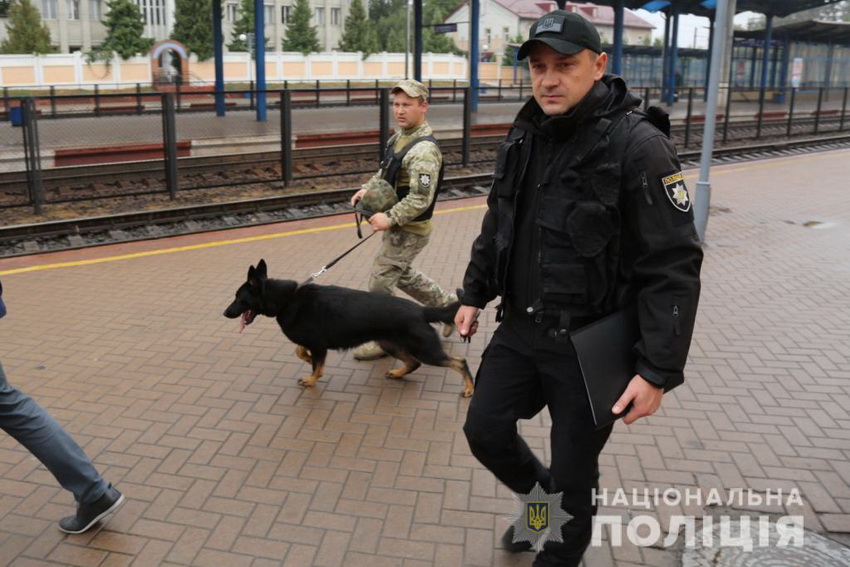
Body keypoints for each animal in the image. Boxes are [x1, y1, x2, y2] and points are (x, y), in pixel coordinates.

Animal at [222, 260, 474, 398]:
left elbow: (317, 367)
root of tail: (421, 311)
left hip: (426, 350)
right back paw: (397, 373)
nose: (225, 313)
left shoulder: (319, 345)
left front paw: (312, 379)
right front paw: (308, 362)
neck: (287, 299)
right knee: (413, 363)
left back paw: (469, 389)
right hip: (390, 344)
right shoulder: (314, 344)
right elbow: (301, 352)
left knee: (459, 362)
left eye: (239, 298)